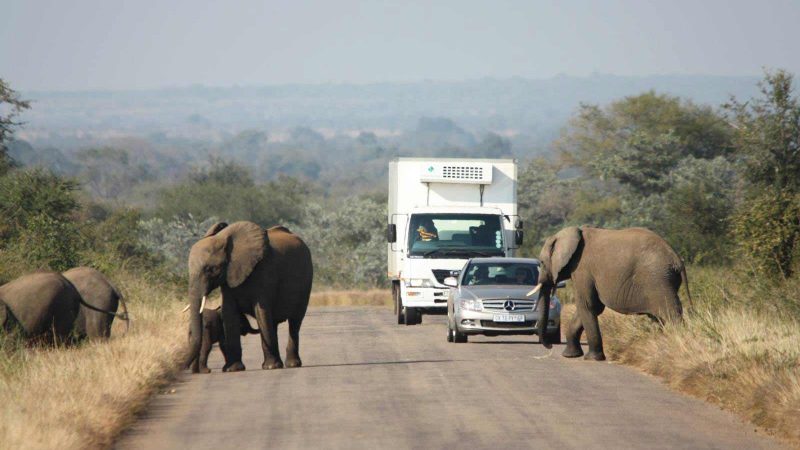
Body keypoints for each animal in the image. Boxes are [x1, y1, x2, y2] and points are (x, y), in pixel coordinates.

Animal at [187, 221, 312, 372]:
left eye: (211, 269)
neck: (224, 238)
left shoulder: (264, 271)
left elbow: (261, 311)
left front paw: (270, 367)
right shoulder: (228, 279)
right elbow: (229, 314)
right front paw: (233, 369)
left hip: (306, 284)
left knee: (294, 322)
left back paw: (291, 364)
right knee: (274, 322)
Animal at [528, 227, 692, 360]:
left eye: (541, 263)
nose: (550, 346)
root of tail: (677, 259)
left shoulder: (582, 269)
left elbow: (587, 305)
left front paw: (592, 358)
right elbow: (593, 307)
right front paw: (570, 355)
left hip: (658, 279)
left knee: (671, 315)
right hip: (663, 280)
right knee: (660, 318)